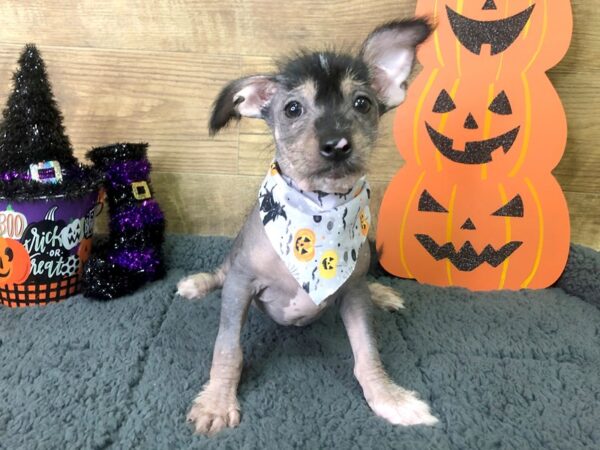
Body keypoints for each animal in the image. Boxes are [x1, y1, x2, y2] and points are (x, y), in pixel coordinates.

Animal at [178, 18, 436, 436]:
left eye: (362, 103)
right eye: (292, 108)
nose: (336, 144)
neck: (319, 211)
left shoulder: (352, 296)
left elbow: (368, 353)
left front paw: (388, 398)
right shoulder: (241, 285)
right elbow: (228, 348)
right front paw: (217, 402)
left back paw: (381, 293)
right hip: (233, 262)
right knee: (221, 271)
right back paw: (198, 283)